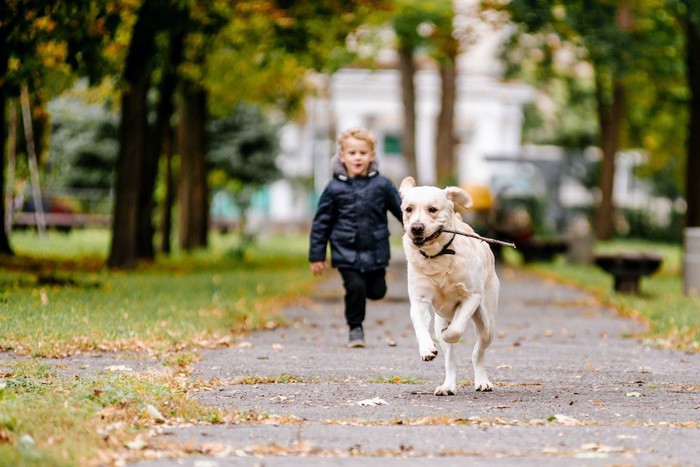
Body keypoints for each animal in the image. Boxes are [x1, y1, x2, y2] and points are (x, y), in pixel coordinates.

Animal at [400, 177, 498, 396]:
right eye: (409, 209)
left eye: (432, 209)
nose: (416, 227)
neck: (438, 255)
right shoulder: (419, 300)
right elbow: (419, 323)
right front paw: (427, 349)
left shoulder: (472, 296)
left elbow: (457, 329)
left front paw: (450, 333)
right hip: (440, 320)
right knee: (449, 360)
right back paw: (448, 386)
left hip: (487, 322)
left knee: (478, 351)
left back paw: (482, 381)